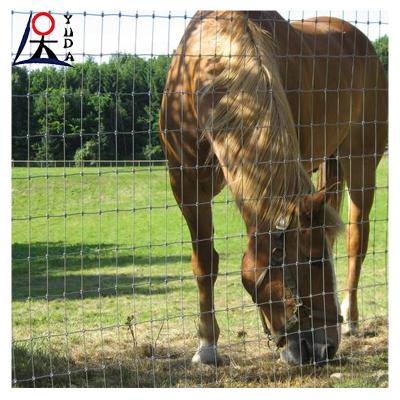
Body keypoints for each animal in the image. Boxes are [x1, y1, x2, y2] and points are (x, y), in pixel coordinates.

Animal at [159, 10, 388, 366]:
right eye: (313, 262)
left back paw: (351, 319)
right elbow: (204, 264)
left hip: (361, 164)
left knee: (356, 241)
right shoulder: (186, 186)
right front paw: (207, 346)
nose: (325, 348)